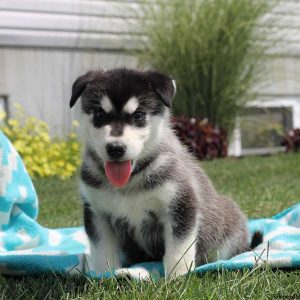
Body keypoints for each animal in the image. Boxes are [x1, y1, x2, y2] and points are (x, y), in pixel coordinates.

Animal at [70, 68, 251, 276]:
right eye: (99, 113)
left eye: (139, 115)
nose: (115, 148)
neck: (129, 182)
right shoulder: (97, 212)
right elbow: (103, 252)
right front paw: (104, 275)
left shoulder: (181, 205)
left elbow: (178, 251)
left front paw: (178, 278)